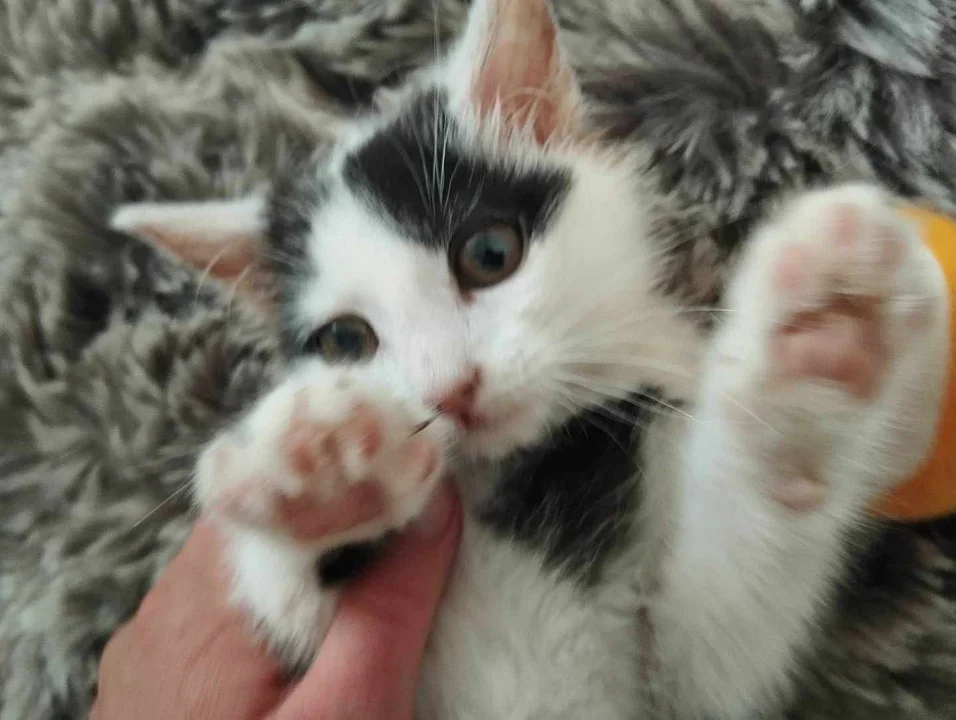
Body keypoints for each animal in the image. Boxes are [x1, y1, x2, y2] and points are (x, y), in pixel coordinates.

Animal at [109, 0, 951, 717]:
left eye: (489, 254)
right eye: (346, 342)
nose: (451, 389)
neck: (530, 466)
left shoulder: (678, 688)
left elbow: (720, 628)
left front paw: (816, 356)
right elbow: (291, 592)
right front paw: (318, 466)